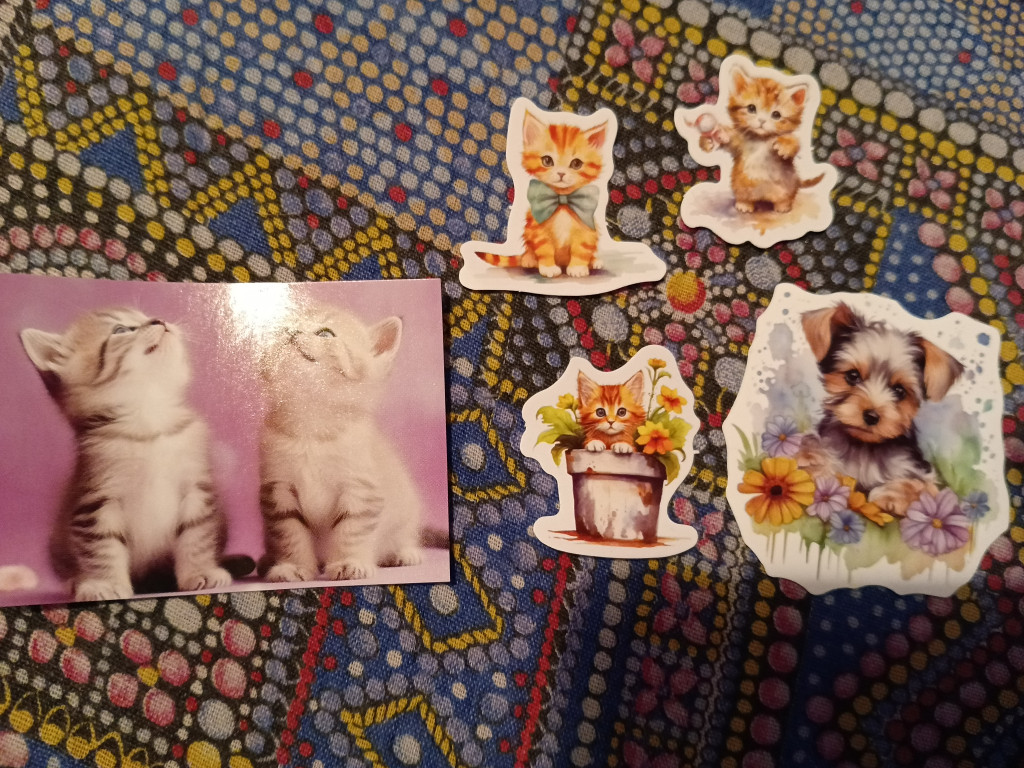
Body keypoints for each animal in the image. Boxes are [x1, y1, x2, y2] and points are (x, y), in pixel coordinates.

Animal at [20, 308, 239, 602]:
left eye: (145, 315)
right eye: (121, 330)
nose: (159, 320)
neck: (149, 424)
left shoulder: (197, 487)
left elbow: (196, 534)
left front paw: (200, 571)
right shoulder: (95, 500)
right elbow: (101, 546)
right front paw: (105, 583)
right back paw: (78, 581)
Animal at [258, 303, 427, 582]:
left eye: (325, 333)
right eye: (286, 323)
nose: (289, 330)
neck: (311, 427)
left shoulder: (362, 489)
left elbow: (351, 530)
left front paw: (349, 563)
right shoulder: (277, 489)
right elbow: (290, 531)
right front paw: (293, 566)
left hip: (406, 512)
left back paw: (403, 553)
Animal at [481, 109, 607, 278]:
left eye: (576, 163)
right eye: (547, 161)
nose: (561, 173)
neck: (562, 201)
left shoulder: (587, 228)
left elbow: (582, 249)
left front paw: (578, 268)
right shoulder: (537, 228)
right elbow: (544, 248)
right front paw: (548, 268)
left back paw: (594, 261)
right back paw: (528, 259)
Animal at [698, 68, 824, 213]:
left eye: (776, 114)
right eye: (751, 108)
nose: (762, 121)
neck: (760, 138)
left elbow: (794, 143)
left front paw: (785, 146)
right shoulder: (739, 142)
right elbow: (728, 140)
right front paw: (711, 140)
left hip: (787, 187)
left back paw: (783, 206)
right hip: (740, 185)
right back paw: (744, 204)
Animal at [796, 302, 964, 517]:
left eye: (899, 391)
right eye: (852, 376)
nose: (871, 416)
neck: (865, 445)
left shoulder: (918, 472)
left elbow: (920, 487)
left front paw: (889, 495)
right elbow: (812, 453)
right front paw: (816, 467)